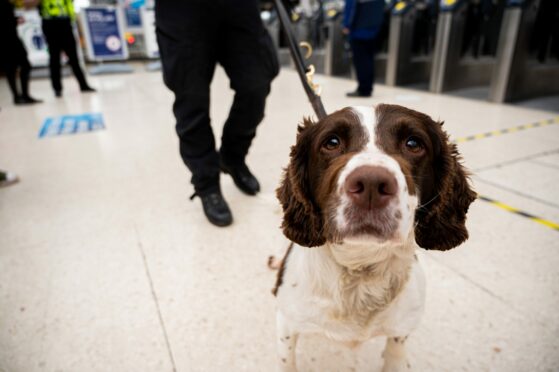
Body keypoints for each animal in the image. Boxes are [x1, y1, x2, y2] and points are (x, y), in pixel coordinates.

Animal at [274, 103, 474, 370]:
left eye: (413, 143)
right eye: (332, 142)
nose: (370, 183)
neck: (362, 269)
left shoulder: (401, 329)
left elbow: (395, 356)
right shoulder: (287, 323)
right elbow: (287, 360)